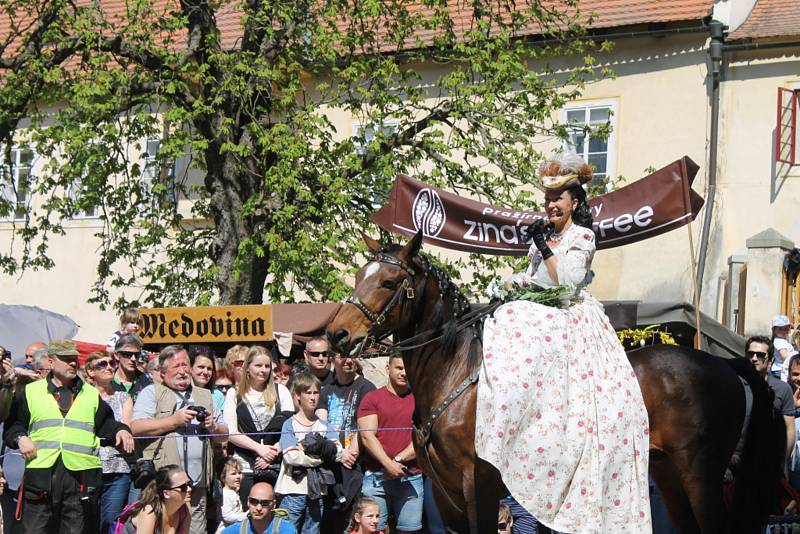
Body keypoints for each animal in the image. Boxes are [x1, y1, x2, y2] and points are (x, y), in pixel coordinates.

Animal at [326, 233, 788, 534]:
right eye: (358, 276)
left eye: (388, 282)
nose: (336, 335)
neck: (456, 370)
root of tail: (725, 365)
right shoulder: (445, 490)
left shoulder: (478, 482)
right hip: (670, 473)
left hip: (700, 474)